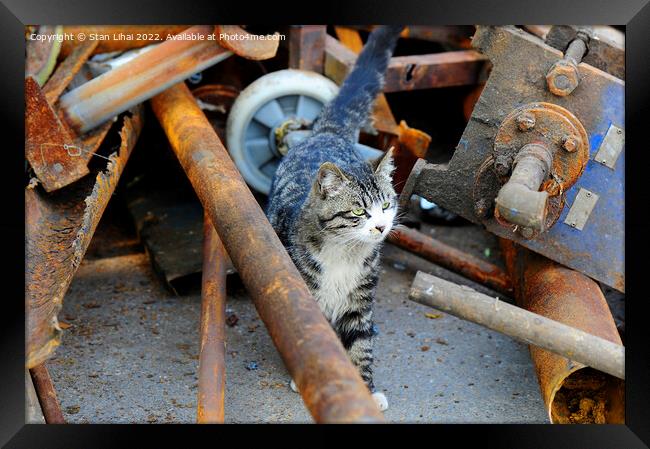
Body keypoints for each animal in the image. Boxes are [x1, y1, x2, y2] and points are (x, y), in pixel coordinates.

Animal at [266, 25, 402, 410]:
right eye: (358, 210)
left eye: (386, 205)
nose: (380, 225)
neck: (345, 253)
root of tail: (326, 134)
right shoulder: (306, 294)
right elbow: (314, 335)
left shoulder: (360, 300)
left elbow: (361, 345)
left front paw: (366, 389)